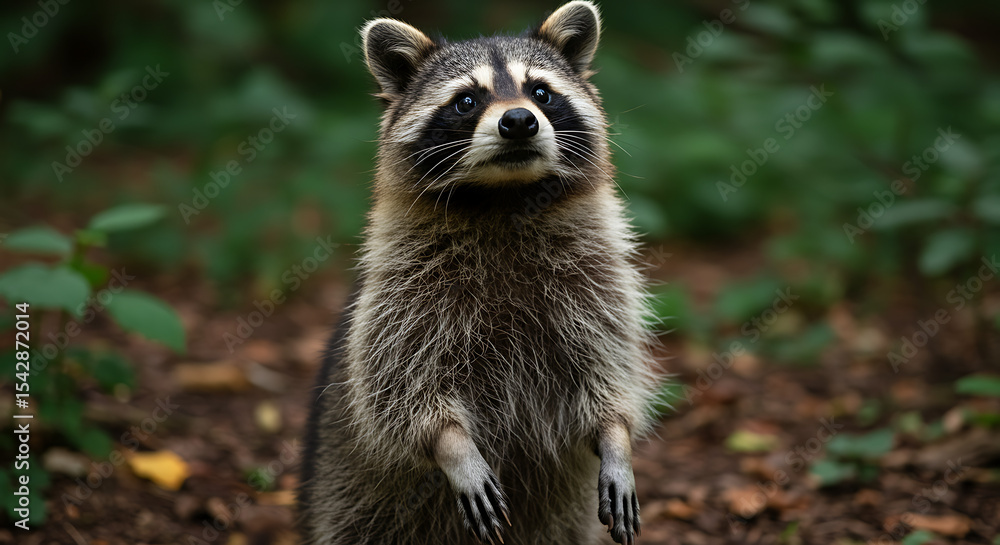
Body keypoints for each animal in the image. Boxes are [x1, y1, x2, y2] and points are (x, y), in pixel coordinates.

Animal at [299, 2, 658, 544]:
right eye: (467, 101)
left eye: (540, 92)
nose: (519, 120)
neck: (506, 197)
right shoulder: (403, 287)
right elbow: (400, 384)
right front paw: (452, 445)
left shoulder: (597, 276)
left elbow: (608, 364)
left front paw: (616, 435)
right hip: (346, 494)